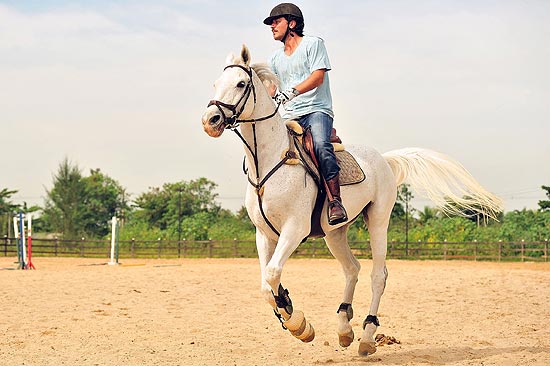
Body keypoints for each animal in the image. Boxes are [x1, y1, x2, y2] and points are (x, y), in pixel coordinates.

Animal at [203, 44, 504, 356]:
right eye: (216, 84)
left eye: (240, 84)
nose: (210, 121)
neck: (271, 161)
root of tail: (384, 160)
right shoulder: (264, 234)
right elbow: (266, 284)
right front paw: (294, 317)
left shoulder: (294, 229)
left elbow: (273, 273)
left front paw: (298, 323)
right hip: (335, 233)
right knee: (352, 269)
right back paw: (344, 328)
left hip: (378, 221)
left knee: (378, 275)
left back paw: (368, 336)